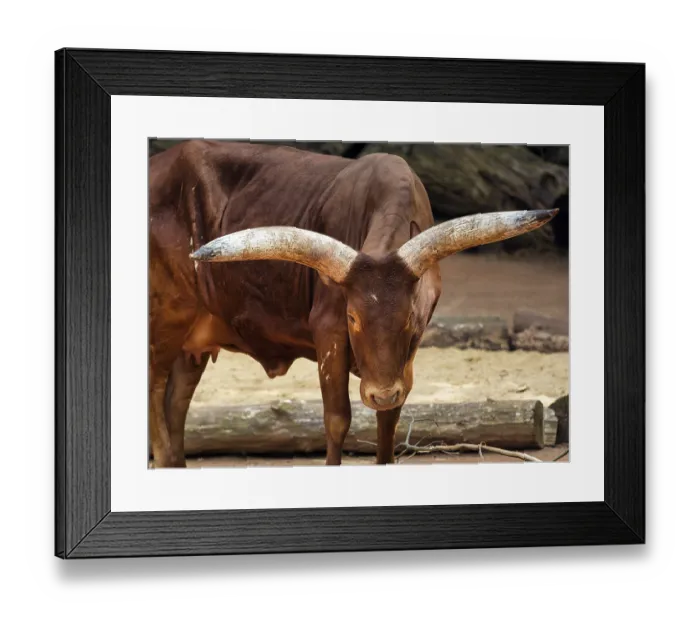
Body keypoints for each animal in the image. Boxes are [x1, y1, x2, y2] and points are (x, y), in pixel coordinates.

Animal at [148, 139, 557, 468]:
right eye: (352, 317)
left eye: (410, 317)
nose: (381, 393)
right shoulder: (328, 333)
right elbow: (337, 418)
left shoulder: (407, 357)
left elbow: (389, 420)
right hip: (163, 321)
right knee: (155, 394)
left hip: (193, 342)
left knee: (176, 403)